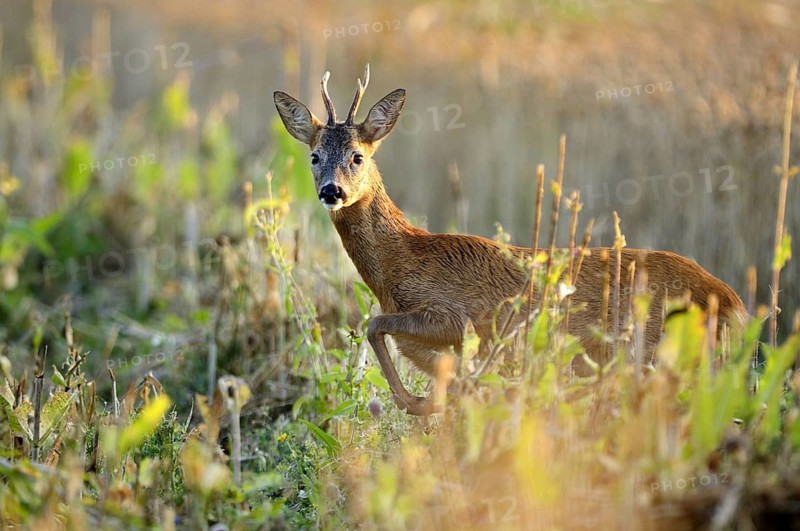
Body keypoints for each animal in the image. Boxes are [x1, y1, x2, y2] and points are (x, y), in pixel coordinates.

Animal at [273, 65, 747, 416]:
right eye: (314, 156)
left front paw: (415, 401)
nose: (331, 191)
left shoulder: (456, 317)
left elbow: (374, 325)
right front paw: (430, 399)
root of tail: (732, 301)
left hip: (657, 351)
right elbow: (386, 333)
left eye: (358, 156)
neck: (401, 263)